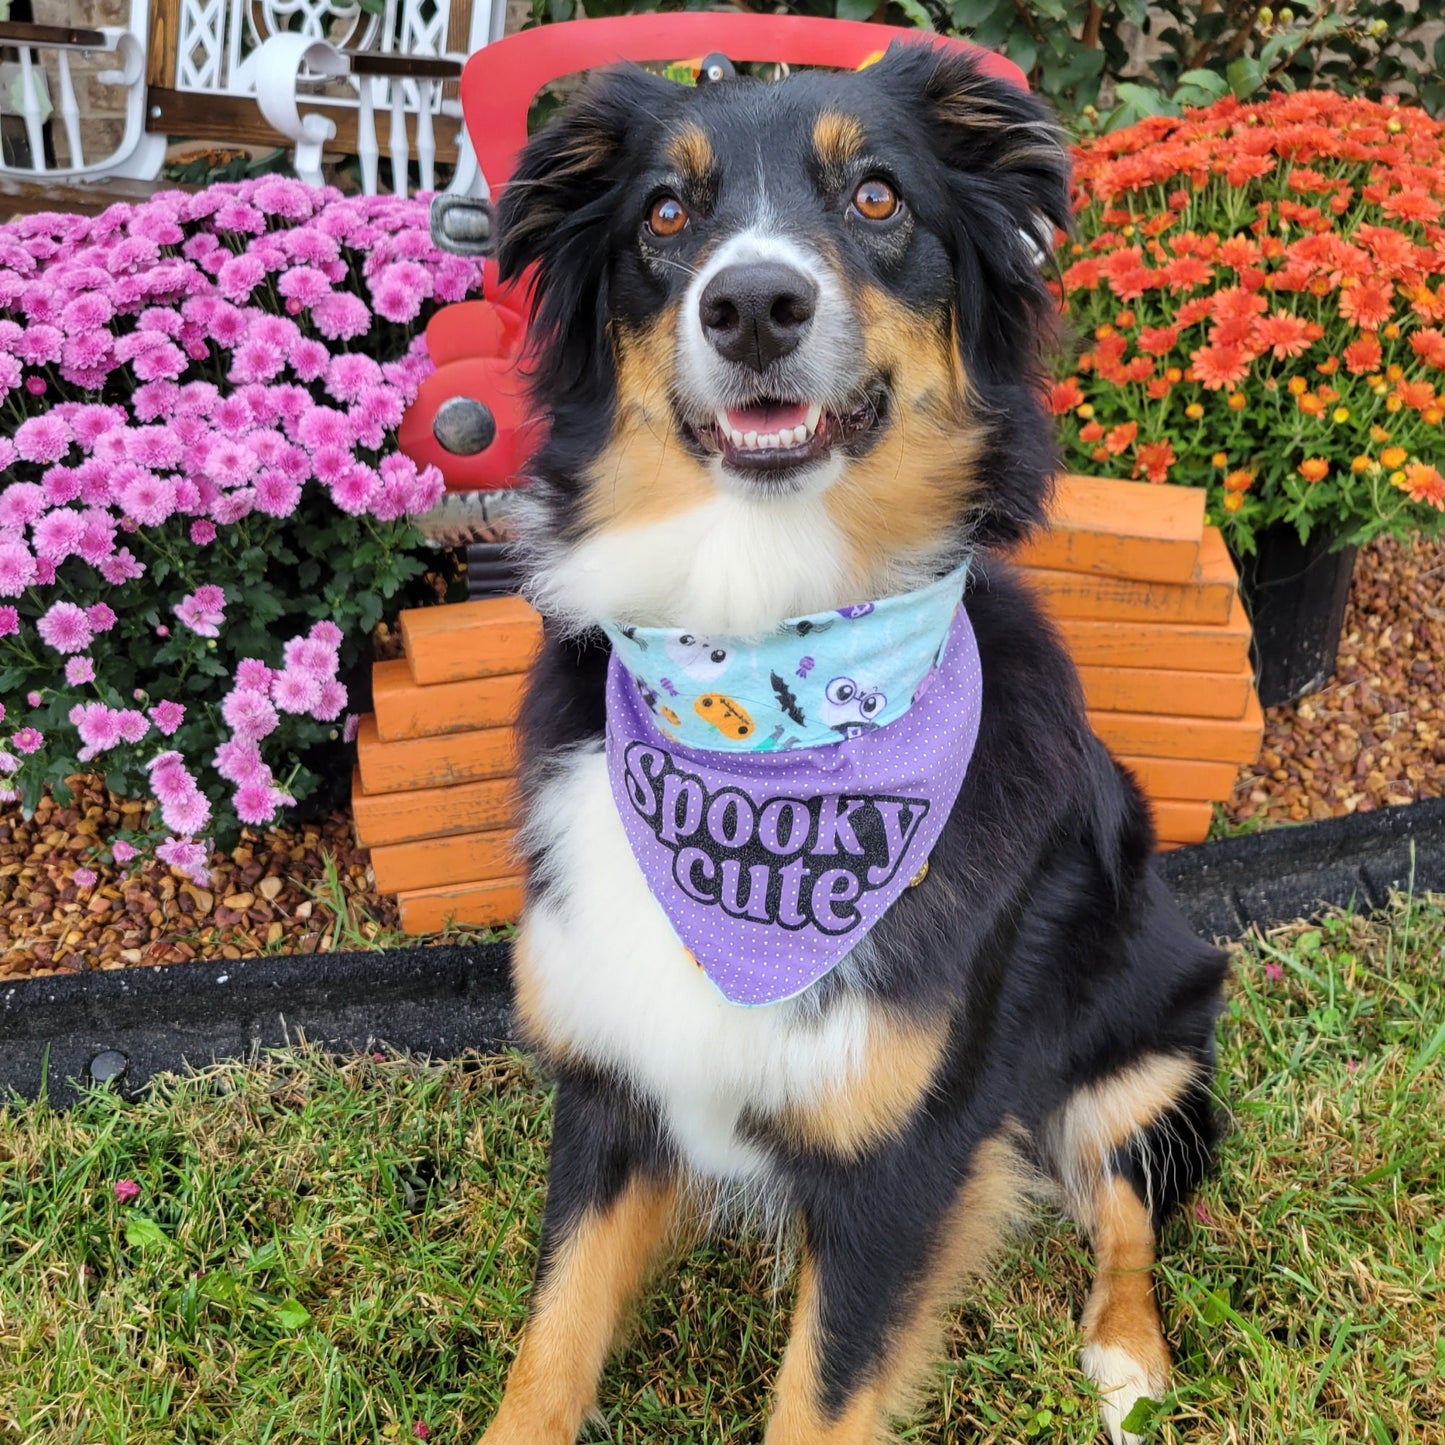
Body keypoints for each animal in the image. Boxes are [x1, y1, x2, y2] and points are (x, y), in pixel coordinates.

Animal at [485, 42, 1231, 1445]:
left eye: (877, 196)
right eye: (663, 214)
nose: (753, 304)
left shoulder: (904, 1158)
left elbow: (820, 1391)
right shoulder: (611, 1087)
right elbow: (548, 1347)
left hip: (1143, 1044)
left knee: (1124, 1212)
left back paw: (1125, 1357)